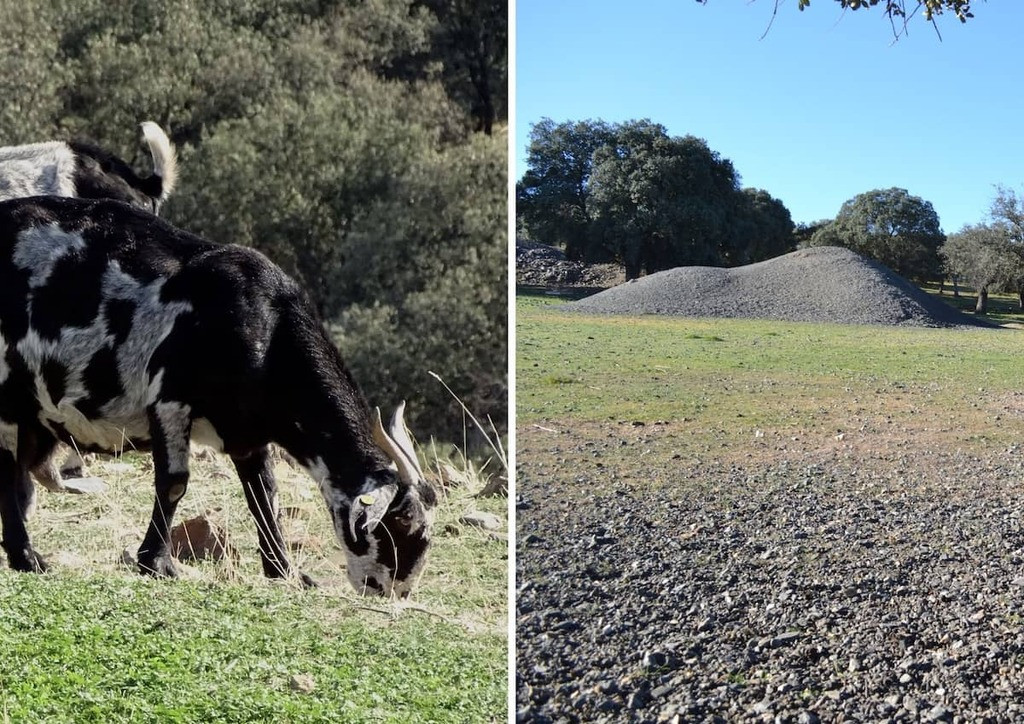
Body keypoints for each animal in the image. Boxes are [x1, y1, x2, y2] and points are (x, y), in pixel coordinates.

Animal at [0, 195, 436, 598]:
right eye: (401, 521)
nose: (394, 590)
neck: (265, 328)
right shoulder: (171, 401)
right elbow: (174, 483)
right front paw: (156, 563)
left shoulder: (248, 433)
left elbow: (264, 494)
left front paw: (284, 570)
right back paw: (27, 557)